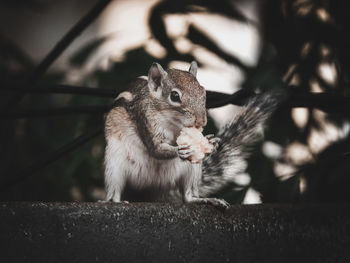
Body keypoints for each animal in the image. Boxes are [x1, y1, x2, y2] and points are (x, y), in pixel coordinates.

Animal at [102, 62, 278, 208]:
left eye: (204, 93)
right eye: (174, 96)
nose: (201, 121)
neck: (171, 122)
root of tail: (153, 191)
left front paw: (212, 142)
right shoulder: (145, 120)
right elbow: (156, 149)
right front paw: (179, 150)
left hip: (192, 169)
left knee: (187, 196)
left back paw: (203, 199)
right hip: (115, 165)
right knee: (114, 189)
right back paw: (114, 201)